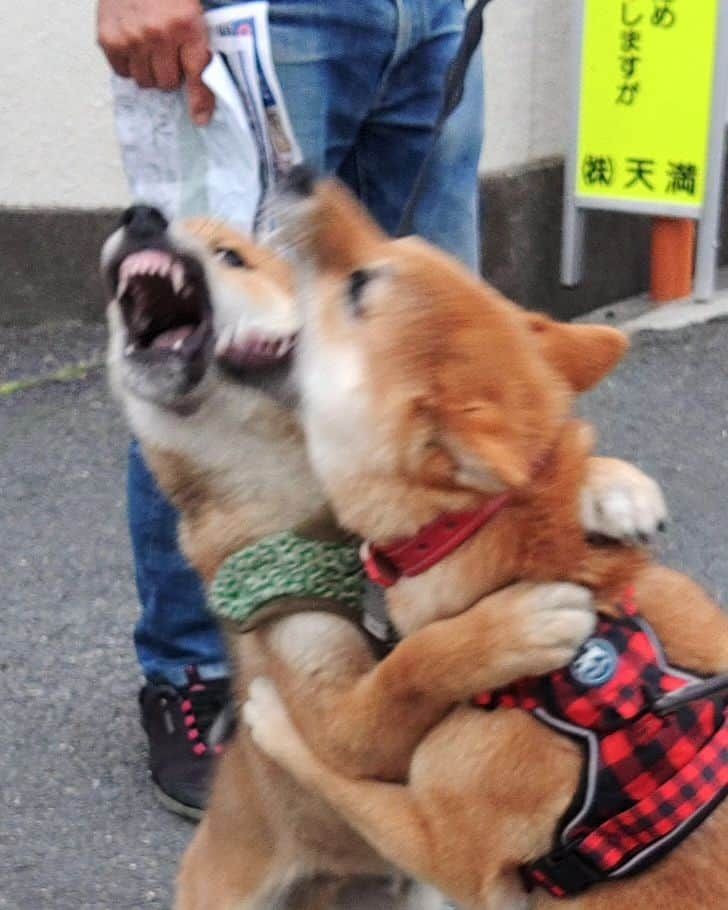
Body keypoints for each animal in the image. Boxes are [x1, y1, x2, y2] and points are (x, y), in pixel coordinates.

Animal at [242, 176, 724, 910]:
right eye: (403, 239)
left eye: (358, 287)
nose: (301, 177)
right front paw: (610, 491)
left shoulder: (443, 850)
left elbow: (345, 769)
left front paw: (274, 721)